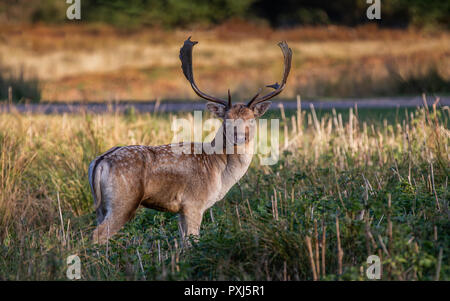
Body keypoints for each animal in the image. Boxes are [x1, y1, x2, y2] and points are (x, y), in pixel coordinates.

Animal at [88, 37, 292, 244]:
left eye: (251, 119)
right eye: (226, 119)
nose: (239, 137)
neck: (219, 172)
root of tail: (100, 161)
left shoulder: (181, 210)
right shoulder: (194, 202)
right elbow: (193, 241)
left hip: (101, 206)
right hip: (124, 200)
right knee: (97, 235)